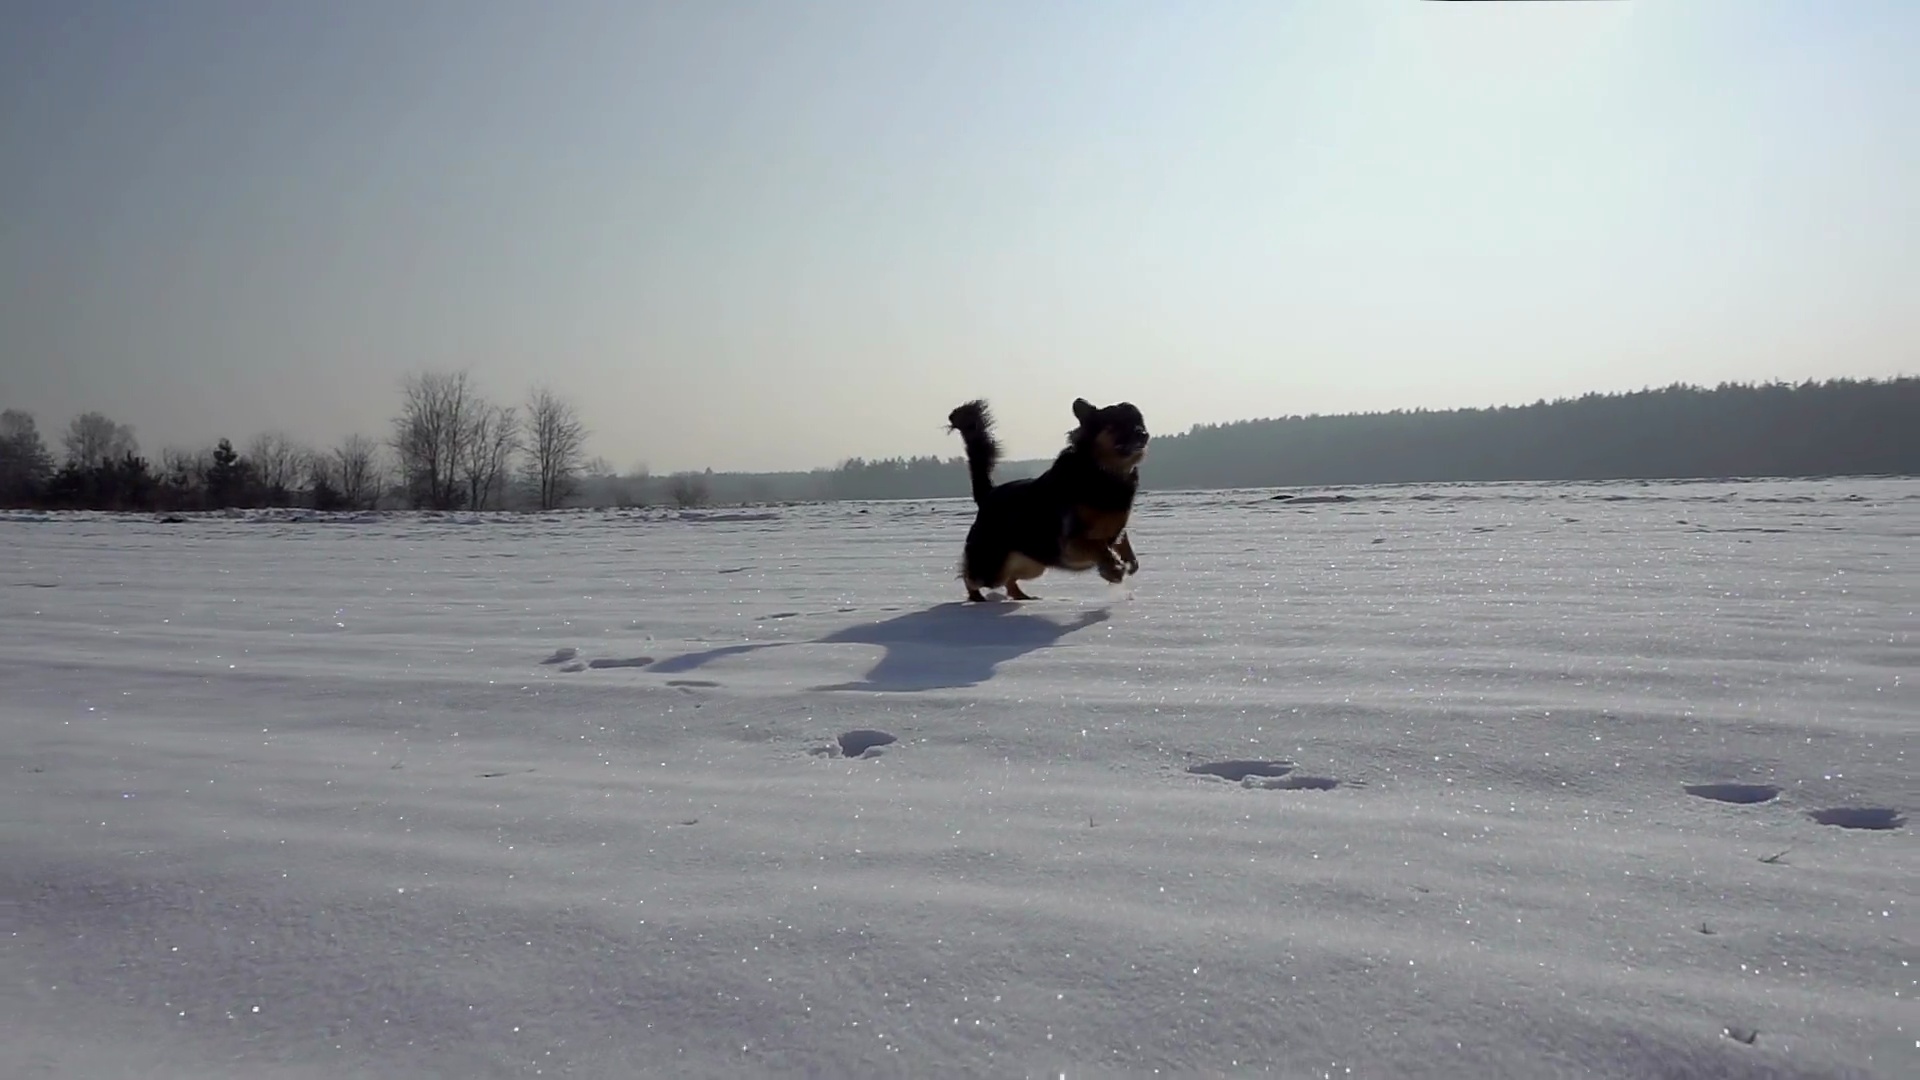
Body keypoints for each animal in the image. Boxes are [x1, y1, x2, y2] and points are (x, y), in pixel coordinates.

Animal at [940, 395, 1136, 599]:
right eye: (1115, 425)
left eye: (1138, 421)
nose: (1142, 433)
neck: (1101, 472)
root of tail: (988, 493)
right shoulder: (1070, 542)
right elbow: (1099, 547)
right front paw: (1113, 568)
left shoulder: (1115, 530)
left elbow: (1123, 544)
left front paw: (1127, 564)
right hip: (991, 565)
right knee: (971, 576)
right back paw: (976, 598)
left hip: (1032, 563)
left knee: (1009, 579)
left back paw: (1022, 597)